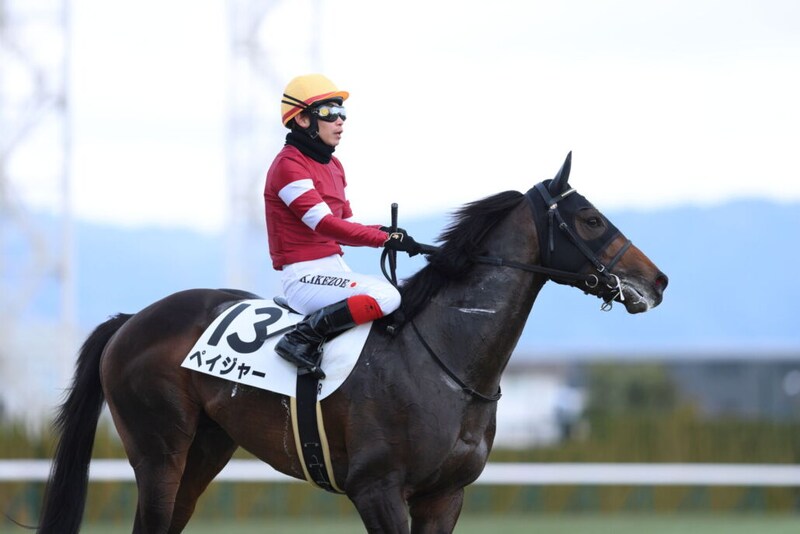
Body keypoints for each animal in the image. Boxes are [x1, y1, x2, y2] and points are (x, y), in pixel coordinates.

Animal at [37, 153, 667, 533]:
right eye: (590, 220)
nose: (657, 281)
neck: (446, 363)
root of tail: (132, 320)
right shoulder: (378, 490)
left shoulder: (445, 496)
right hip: (159, 452)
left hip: (206, 449)